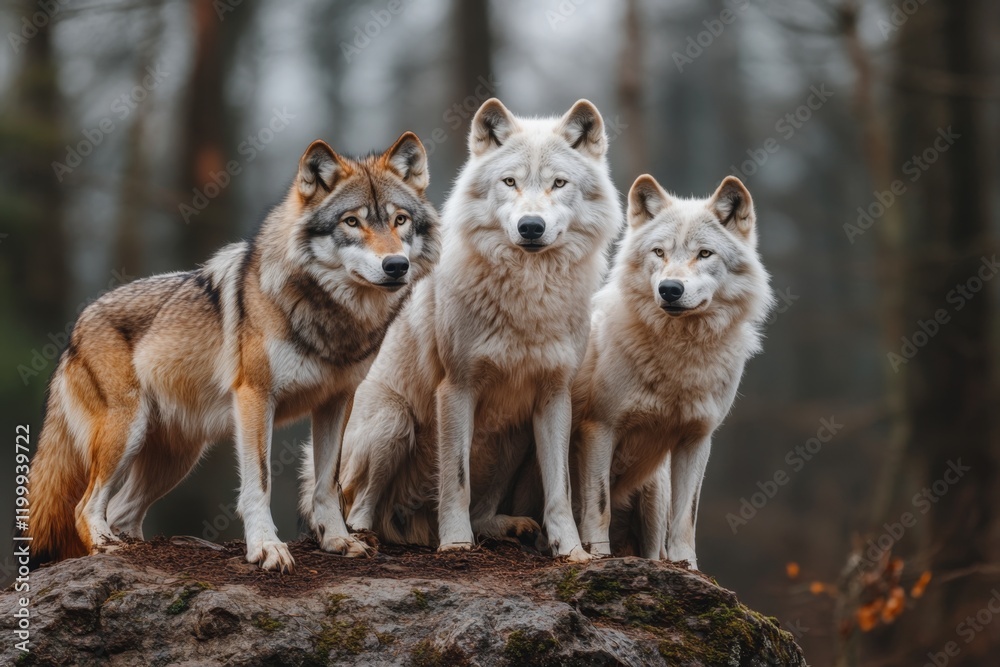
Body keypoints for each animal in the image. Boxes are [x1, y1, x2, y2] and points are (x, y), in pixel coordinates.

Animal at [28, 132, 440, 572]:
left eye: (400, 220)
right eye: (352, 222)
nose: (395, 265)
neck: (330, 318)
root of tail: (76, 326)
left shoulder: (336, 402)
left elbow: (328, 483)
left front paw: (337, 541)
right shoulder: (255, 397)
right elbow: (260, 481)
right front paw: (266, 548)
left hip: (175, 460)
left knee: (121, 510)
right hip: (126, 433)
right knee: (85, 506)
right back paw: (107, 547)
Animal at [323, 98, 622, 561]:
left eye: (558, 183)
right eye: (509, 181)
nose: (531, 226)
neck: (528, 294)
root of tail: (415, 526)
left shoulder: (555, 395)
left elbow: (560, 490)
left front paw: (572, 550)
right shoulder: (456, 387)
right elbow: (456, 481)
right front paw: (456, 542)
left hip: (516, 439)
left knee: (483, 511)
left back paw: (506, 527)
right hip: (393, 423)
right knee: (360, 506)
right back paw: (368, 536)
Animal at [572, 174, 773, 568]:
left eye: (704, 254)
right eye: (659, 253)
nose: (669, 289)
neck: (680, 355)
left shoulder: (696, 439)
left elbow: (686, 520)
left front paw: (688, 567)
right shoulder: (600, 427)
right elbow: (598, 506)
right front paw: (599, 557)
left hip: (654, 492)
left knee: (655, 547)